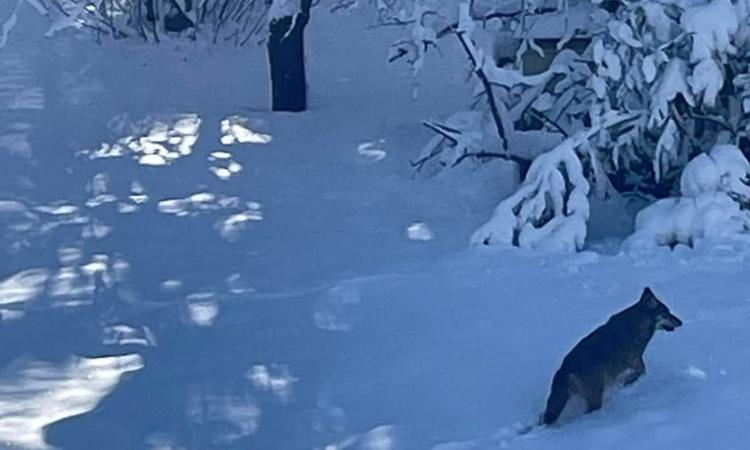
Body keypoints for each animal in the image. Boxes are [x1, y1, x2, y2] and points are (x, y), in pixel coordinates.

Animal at [542, 287, 682, 425]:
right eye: (666, 313)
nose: (681, 322)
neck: (638, 324)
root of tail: (564, 369)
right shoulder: (635, 361)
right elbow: (642, 372)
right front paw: (628, 383)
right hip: (596, 395)